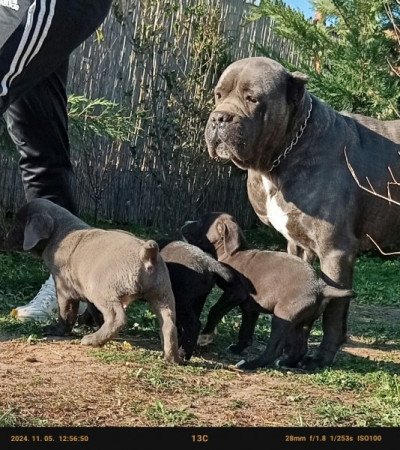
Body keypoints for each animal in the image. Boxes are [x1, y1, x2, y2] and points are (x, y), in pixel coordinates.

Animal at [6, 199, 180, 364]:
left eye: (17, 223)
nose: (4, 239)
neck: (60, 232)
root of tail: (146, 252)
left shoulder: (64, 289)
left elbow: (66, 312)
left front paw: (56, 331)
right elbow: (94, 312)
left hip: (103, 291)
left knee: (117, 317)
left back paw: (92, 340)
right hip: (162, 294)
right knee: (169, 324)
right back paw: (171, 358)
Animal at [181, 213, 354, 370]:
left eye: (201, 221)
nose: (185, 222)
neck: (232, 254)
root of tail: (321, 286)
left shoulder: (235, 293)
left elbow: (215, 311)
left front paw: (205, 335)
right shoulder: (250, 308)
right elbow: (245, 331)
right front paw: (237, 348)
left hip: (283, 316)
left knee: (274, 349)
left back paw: (250, 364)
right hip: (302, 322)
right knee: (301, 347)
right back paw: (286, 363)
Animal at [206, 55, 400, 370]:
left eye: (252, 98)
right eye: (218, 95)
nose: (219, 118)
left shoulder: (336, 251)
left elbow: (333, 313)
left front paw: (319, 358)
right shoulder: (298, 245)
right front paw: (290, 353)